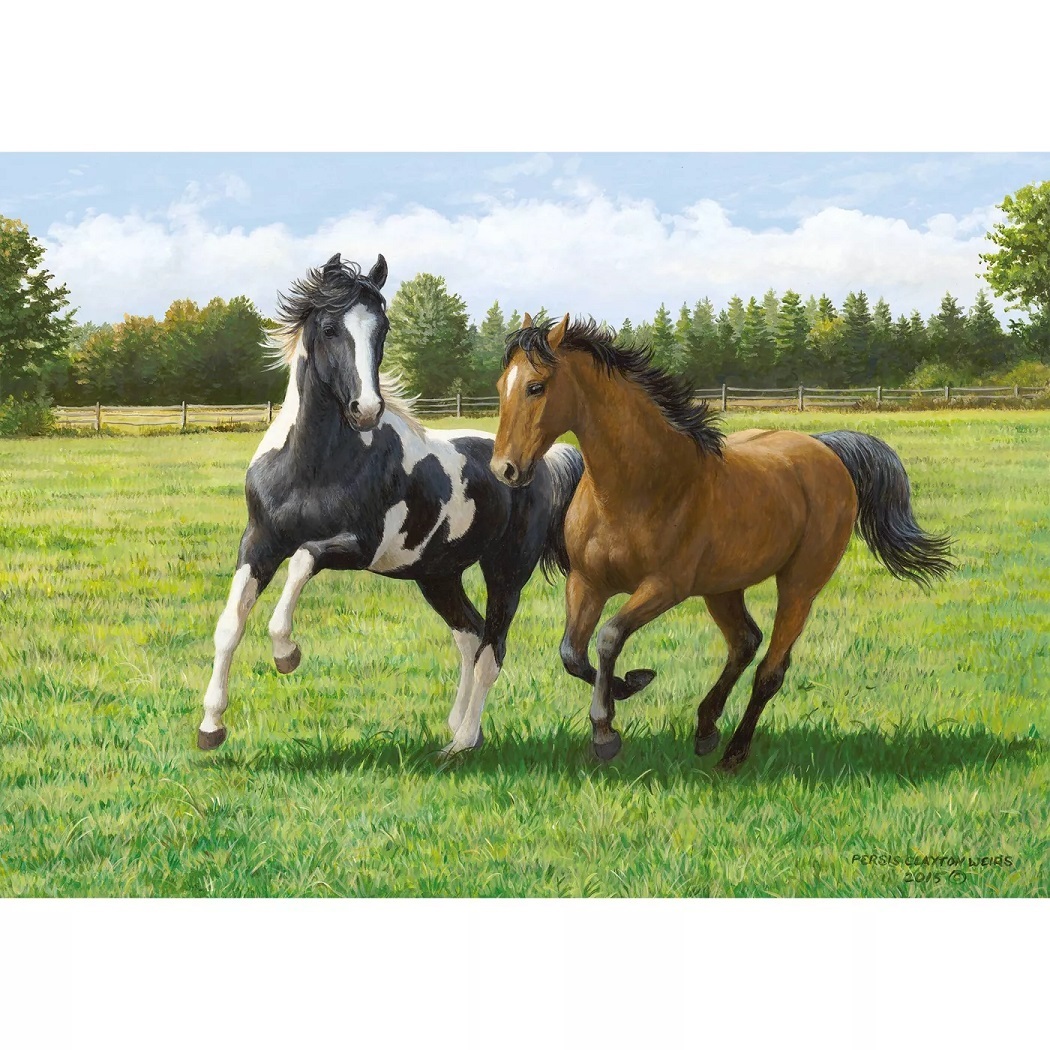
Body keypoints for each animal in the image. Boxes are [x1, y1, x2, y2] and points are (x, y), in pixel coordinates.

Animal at [196, 255, 583, 755]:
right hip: (438, 576)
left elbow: (303, 560)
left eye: (382, 329)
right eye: (329, 328)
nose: (365, 409)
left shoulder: (359, 546)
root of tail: (542, 465)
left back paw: (460, 745)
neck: (310, 468)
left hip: (506, 573)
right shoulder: (259, 543)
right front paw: (210, 726)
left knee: (492, 650)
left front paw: (286, 654)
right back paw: (459, 727)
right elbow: (230, 623)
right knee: (471, 636)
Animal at [490, 313, 953, 771]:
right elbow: (573, 653)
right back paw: (705, 728)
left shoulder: (664, 588)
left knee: (771, 669)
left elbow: (608, 637)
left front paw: (606, 733)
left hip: (799, 587)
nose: (504, 470)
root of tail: (825, 449)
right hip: (723, 588)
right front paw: (629, 685)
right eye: (500, 386)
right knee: (745, 642)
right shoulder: (587, 581)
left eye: (536, 386)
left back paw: (734, 752)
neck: (636, 487)